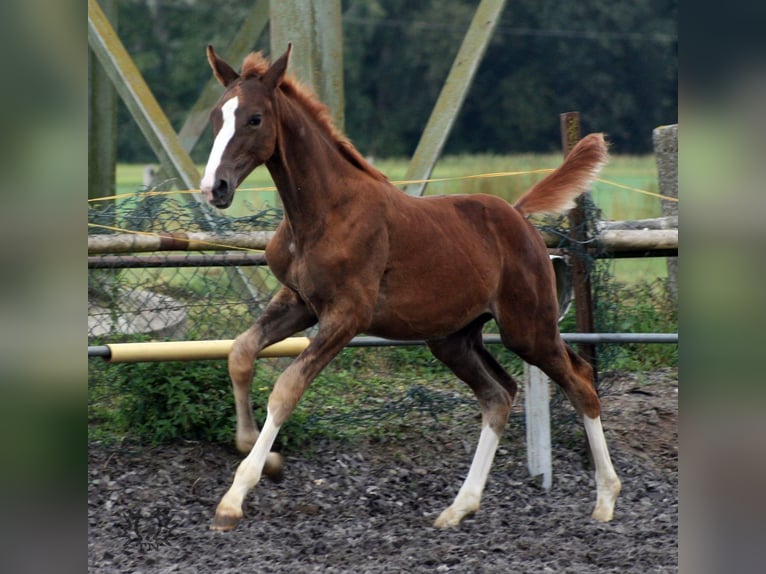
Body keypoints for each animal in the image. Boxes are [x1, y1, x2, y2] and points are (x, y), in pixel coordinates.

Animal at [201, 42, 620, 532]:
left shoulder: (348, 314)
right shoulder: (299, 301)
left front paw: (235, 496)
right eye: (216, 116)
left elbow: (287, 387)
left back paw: (606, 499)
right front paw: (265, 459)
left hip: (528, 328)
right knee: (498, 396)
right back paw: (459, 507)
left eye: (255, 119)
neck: (324, 211)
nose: (214, 187)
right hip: (453, 339)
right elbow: (240, 353)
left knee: (580, 380)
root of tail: (519, 217)